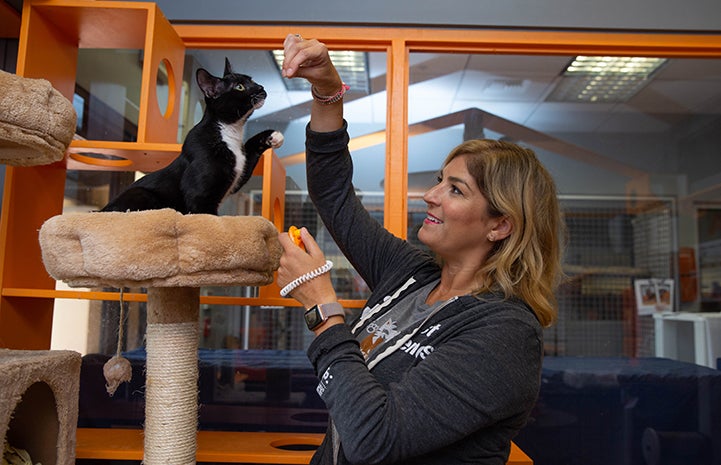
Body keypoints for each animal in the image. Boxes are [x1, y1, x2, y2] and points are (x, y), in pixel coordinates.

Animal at [101, 58, 282, 216]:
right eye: (239, 87)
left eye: (251, 80)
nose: (261, 87)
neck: (229, 131)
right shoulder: (199, 197)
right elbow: (209, 216)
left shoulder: (239, 169)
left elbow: (249, 149)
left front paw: (272, 136)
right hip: (142, 193)